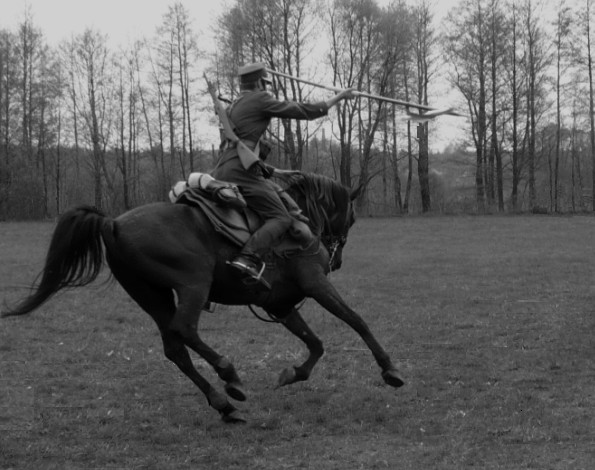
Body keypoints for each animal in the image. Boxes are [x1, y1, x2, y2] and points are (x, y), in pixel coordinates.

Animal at [2, 172, 406, 422]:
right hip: (192, 285)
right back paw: (230, 377)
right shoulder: (316, 285)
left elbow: (315, 343)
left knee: (175, 348)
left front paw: (293, 374)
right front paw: (390, 369)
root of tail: (112, 222)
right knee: (185, 331)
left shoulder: (278, 303)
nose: (337, 259)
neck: (298, 218)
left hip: (153, 297)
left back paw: (224, 404)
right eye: (352, 217)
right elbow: (356, 321)